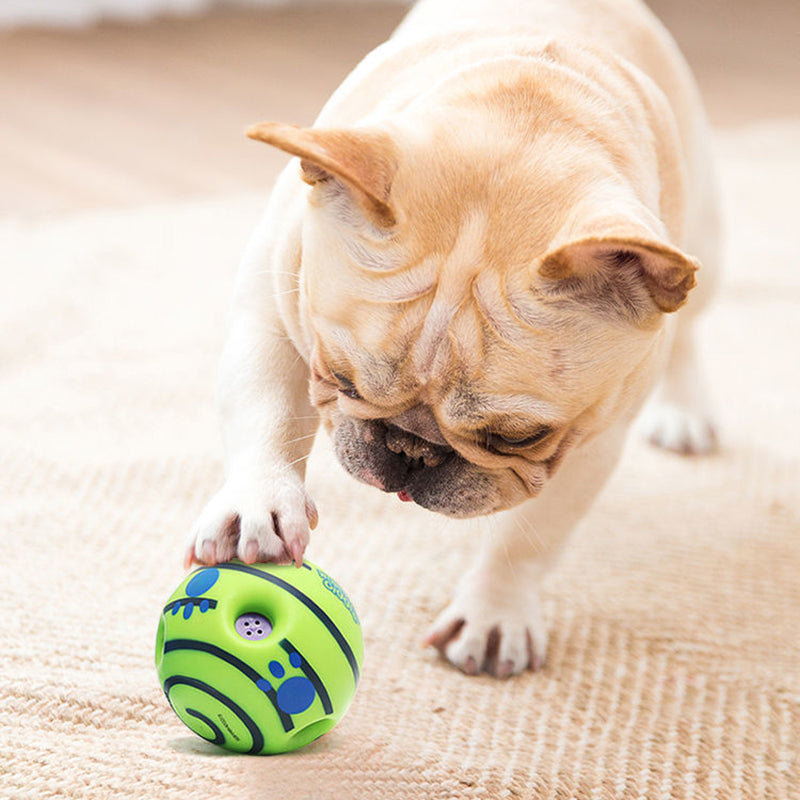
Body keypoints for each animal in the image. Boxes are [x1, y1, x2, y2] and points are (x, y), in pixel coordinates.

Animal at [186, 0, 720, 680]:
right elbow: (269, 416)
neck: (526, 116)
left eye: (517, 437)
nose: (411, 450)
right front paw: (259, 504)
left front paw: (494, 615)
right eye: (339, 377)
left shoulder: (587, 444)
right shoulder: (275, 318)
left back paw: (685, 411)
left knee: (690, 331)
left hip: (704, 253)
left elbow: (529, 536)